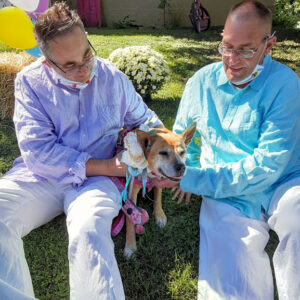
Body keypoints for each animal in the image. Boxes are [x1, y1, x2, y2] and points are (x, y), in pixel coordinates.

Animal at [119, 122, 197, 258]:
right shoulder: (132, 191)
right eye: (163, 153)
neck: (150, 174)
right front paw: (130, 246)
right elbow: (129, 220)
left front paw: (159, 215)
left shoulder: (159, 181)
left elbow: (158, 198)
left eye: (182, 152)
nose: (182, 167)